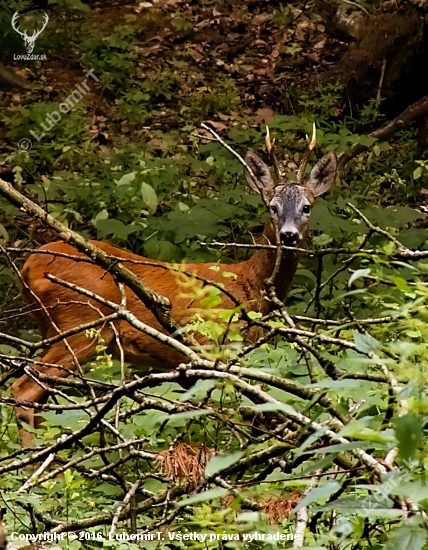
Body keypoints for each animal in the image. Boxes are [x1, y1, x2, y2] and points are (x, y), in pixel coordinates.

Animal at [11, 135, 336, 448]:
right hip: (79, 323)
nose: (289, 236)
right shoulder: (210, 345)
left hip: (54, 327)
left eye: (306, 207)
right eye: (273, 207)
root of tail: (28, 265)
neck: (249, 284)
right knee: (25, 390)